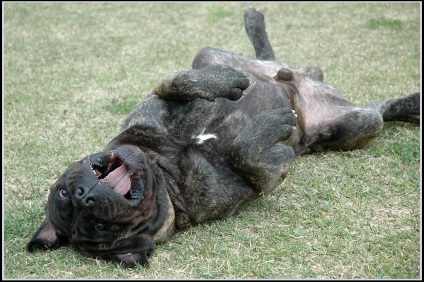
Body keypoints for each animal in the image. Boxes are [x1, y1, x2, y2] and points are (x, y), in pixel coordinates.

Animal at [27, 6, 420, 266]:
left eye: (63, 192)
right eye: (98, 225)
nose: (85, 194)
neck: (165, 168)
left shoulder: (154, 100)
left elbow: (176, 80)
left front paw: (226, 84)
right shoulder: (264, 180)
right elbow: (244, 152)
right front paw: (272, 127)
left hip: (213, 54)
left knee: (260, 60)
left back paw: (255, 37)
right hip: (354, 126)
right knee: (378, 111)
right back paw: (413, 103)